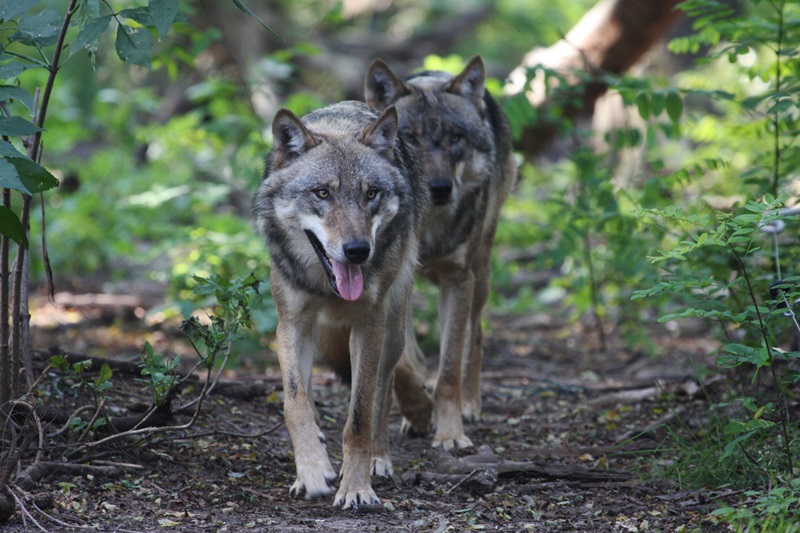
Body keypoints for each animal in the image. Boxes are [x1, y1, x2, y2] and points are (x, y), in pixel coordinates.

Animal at [256, 101, 432, 508]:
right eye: (322, 193)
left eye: (371, 193)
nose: (357, 250)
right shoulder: (291, 323)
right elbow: (295, 402)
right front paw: (311, 471)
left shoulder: (368, 324)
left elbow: (360, 415)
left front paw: (356, 488)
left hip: (392, 328)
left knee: (385, 386)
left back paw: (380, 459)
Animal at [366, 57, 516, 448]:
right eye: (411, 139)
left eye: (455, 138)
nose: (438, 188)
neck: (427, 231)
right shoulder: (390, 284)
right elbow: (401, 363)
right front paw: (415, 411)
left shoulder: (457, 278)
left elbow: (449, 368)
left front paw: (450, 433)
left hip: (480, 274)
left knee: (475, 336)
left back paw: (471, 404)